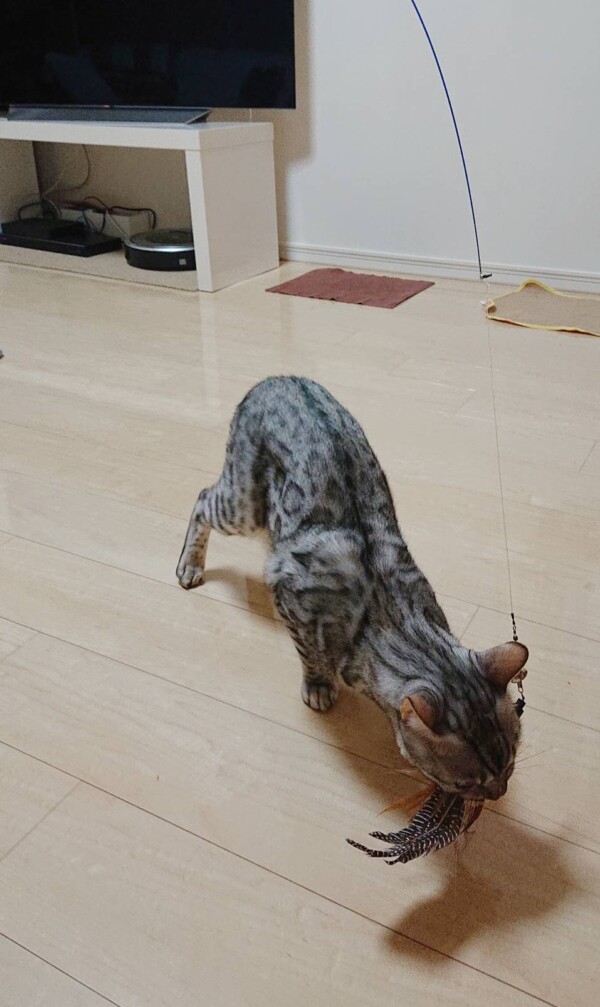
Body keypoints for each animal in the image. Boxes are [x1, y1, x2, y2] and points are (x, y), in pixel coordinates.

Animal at [177, 376, 528, 802]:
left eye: (511, 760)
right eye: (467, 783)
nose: (499, 793)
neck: (393, 619)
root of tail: (275, 379)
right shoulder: (289, 594)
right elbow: (310, 654)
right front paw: (318, 684)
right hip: (242, 503)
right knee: (202, 499)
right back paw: (190, 564)